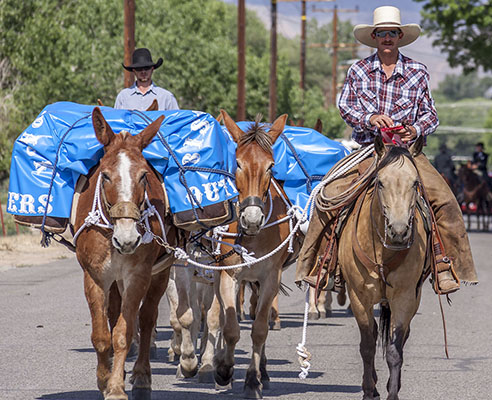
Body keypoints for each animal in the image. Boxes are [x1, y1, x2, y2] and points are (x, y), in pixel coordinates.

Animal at [73, 107, 179, 400]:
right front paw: (104, 379)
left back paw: (142, 377)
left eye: (144, 175)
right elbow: (101, 335)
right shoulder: (95, 278)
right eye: (105, 175)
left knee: (146, 318)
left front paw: (117, 388)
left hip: (159, 274)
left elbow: (123, 332)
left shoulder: (137, 276)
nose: (128, 239)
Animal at [208, 111, 300, 398]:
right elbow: (230, 327)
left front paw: (252, 380)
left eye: (270, 166)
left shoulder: (270, 277)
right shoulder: (229, 276)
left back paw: (264, 371)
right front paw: (224, 370)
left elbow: (259, 329)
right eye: (237, 163)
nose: (251, 218)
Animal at [328, 136, 428, 398]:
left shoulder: (404, 297)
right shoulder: (358, 297)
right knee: (372, 335)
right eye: (381, 182)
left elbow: (394, 350)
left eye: (415, 182)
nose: (399, 231)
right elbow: (367, 345)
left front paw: (392, 392)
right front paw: (368, 390)